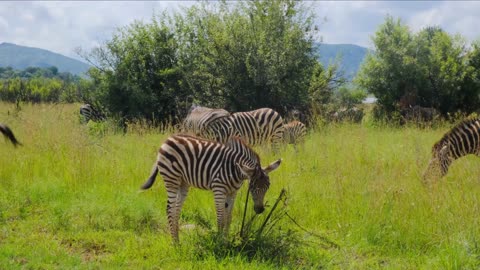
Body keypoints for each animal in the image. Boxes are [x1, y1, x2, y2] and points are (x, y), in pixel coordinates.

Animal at [139, 134, 282, 242]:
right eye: (251, 187)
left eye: (268, 187)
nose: (259, 210)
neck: (235, 170)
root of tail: (168, 139)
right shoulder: (219, 189)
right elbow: (220, 218)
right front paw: (219, 243)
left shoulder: (233, 192)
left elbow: (228, 218)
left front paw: (226, 241)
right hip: (171, 179)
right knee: (169, 209)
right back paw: (175, 243)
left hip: (183, 182)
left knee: (176, 210)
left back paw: (178, 240)